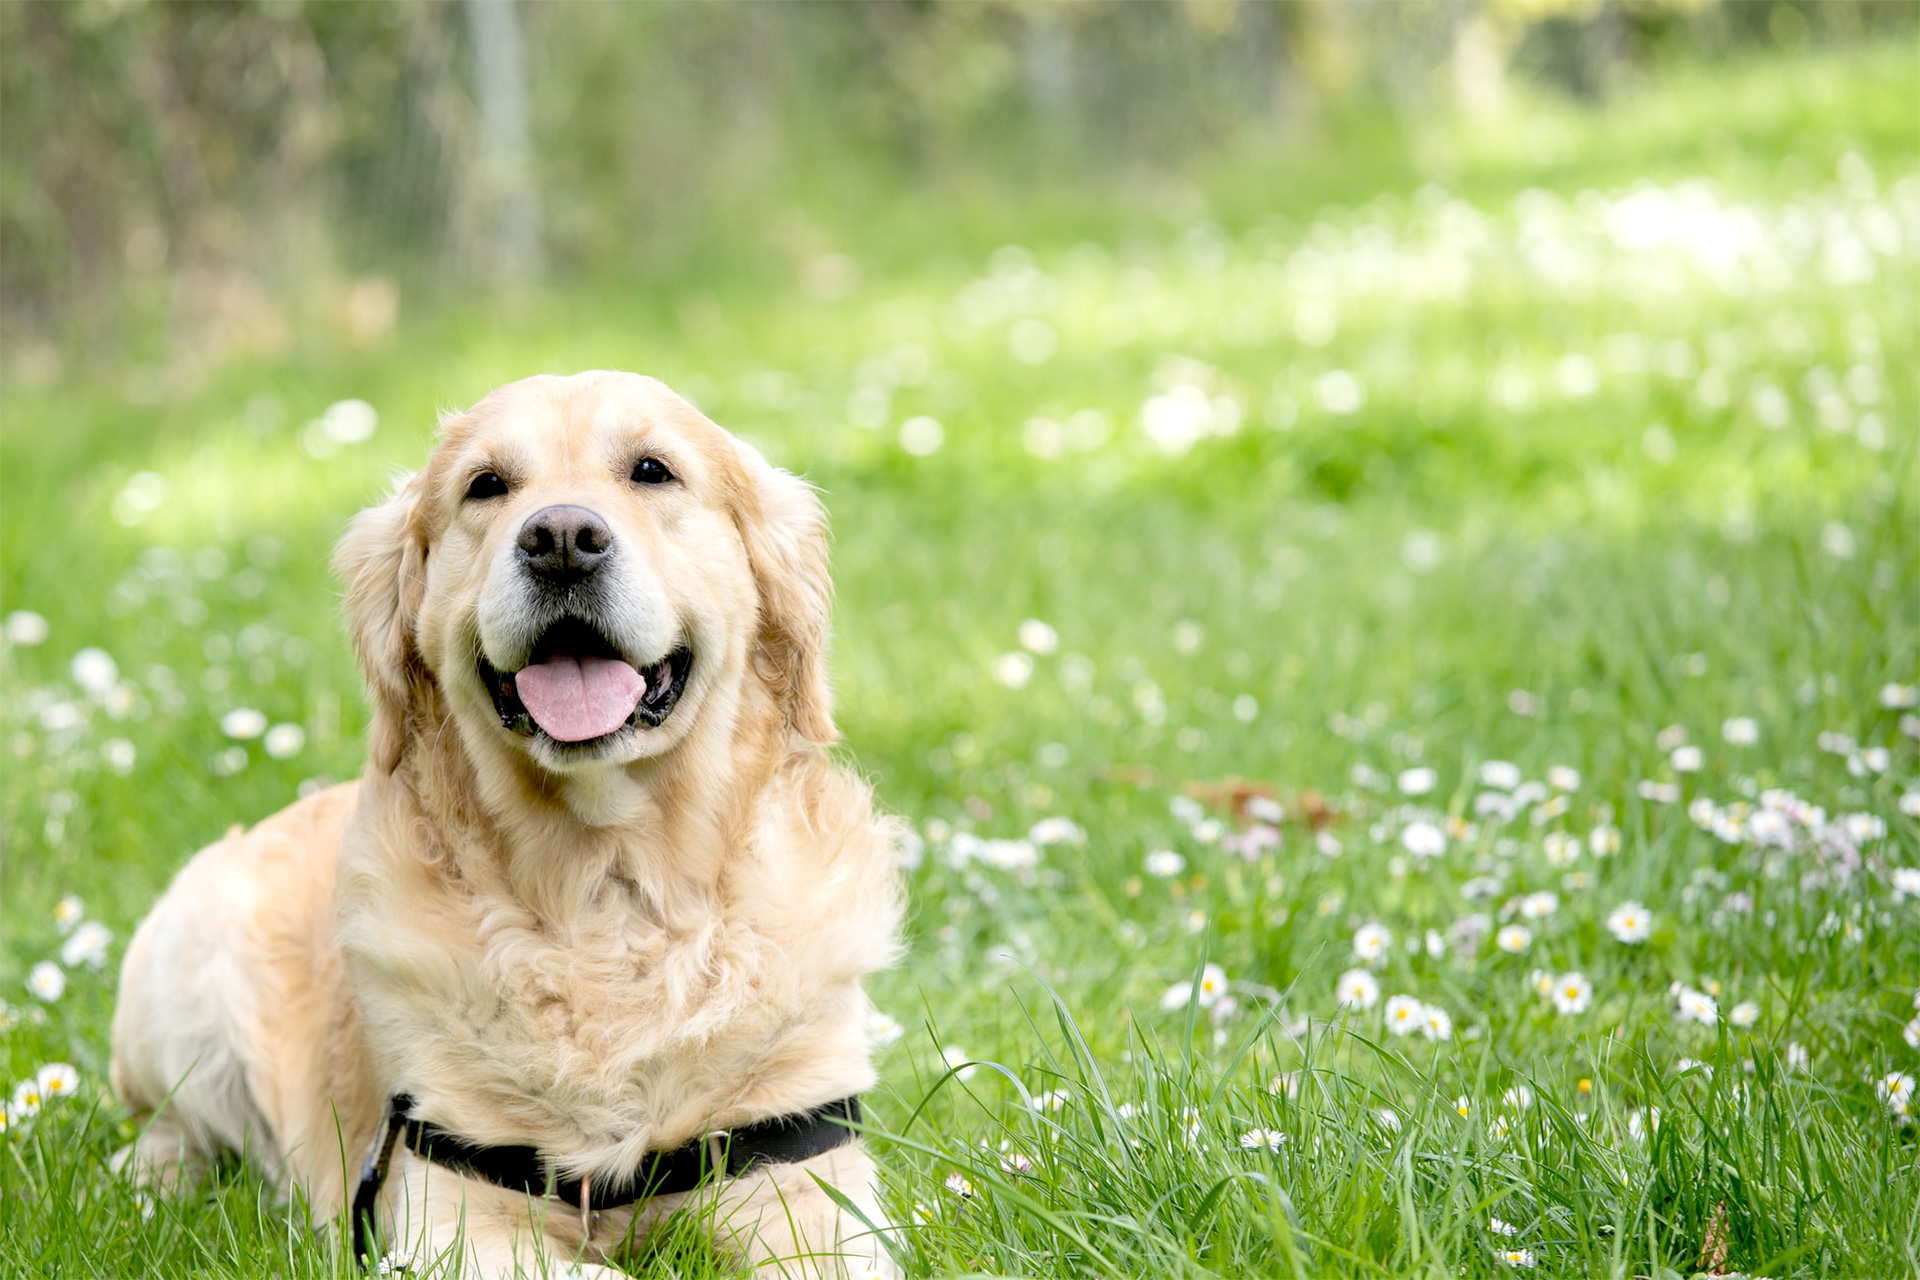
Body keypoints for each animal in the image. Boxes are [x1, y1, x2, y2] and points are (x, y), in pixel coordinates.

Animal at [112, 368, 906, 1274]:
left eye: (652, 470)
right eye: (485, 486)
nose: (561, 538)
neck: (607, 891)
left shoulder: (809, 1187)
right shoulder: (452, 1216)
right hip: (181, 968)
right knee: (166, 1124)